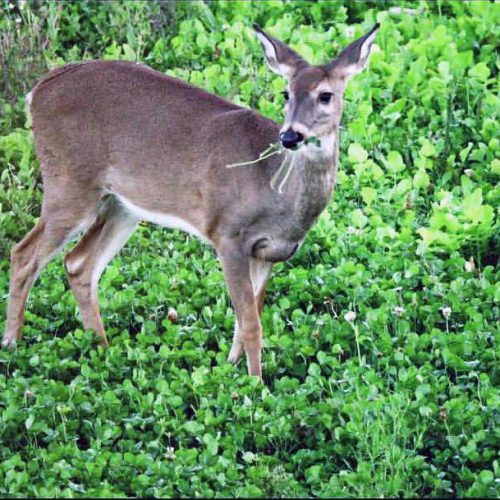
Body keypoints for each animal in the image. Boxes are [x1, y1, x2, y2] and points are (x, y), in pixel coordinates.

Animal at [2, 22, 378, 378]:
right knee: (23, 254)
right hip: (70, 183)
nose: (290, 136)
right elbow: (251, 324)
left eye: (326, 95)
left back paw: (102, 350)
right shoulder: (229, 234)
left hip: (122, 205)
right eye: (286, 92)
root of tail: (36, 92)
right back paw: (13, 344)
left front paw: (232, 369)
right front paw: (257, 386)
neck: (277, 191)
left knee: (78, 262)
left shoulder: (268, 252)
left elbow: (248, 318)